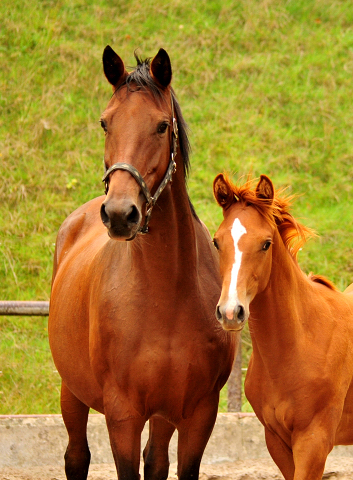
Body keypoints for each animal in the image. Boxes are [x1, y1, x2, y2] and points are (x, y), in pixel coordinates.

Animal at [46, 46, 235, 480]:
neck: (166, 293)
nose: (119, 214)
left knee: (157, 461)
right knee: (76, 457)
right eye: (105, 122)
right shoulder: (123, 415)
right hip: (72, 391)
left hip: (164, 414)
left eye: (162, 126)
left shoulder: (198, 413)